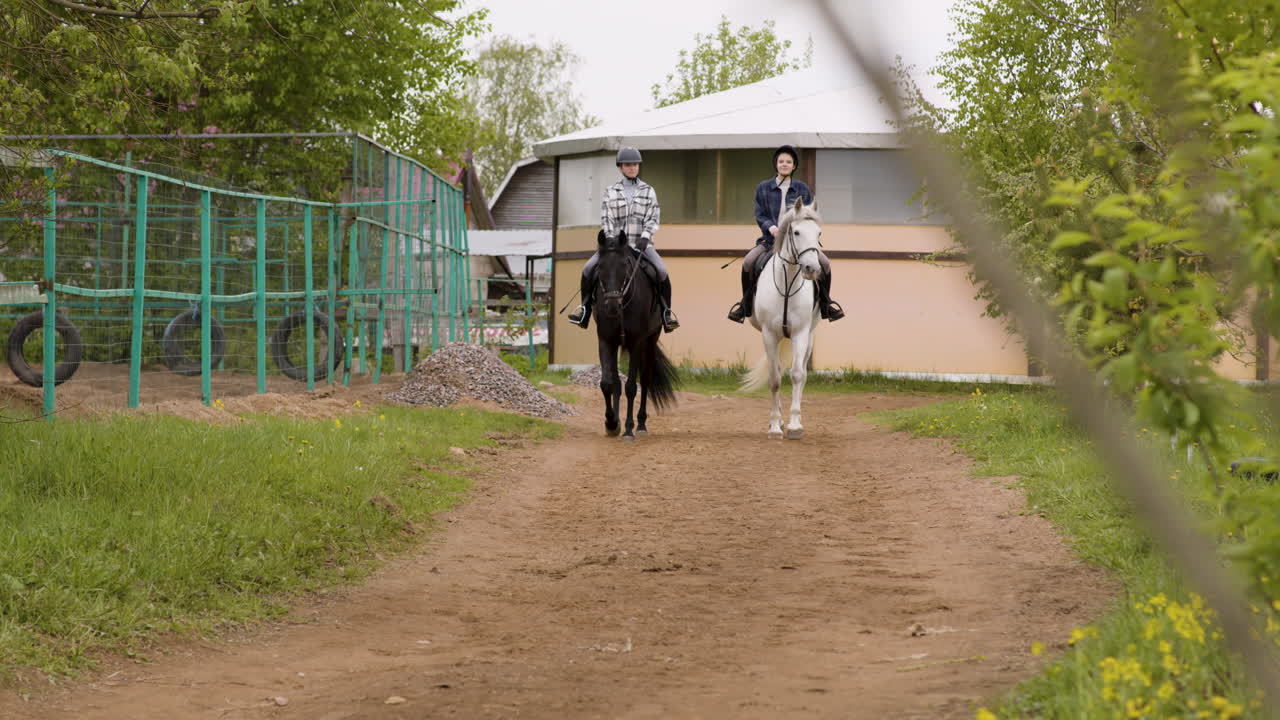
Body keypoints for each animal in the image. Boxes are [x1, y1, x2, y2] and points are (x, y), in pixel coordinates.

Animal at [591, 230, 679, 441]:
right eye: (600, 266)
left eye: (624, 265)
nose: (612, 306)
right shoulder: (606, 340)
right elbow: (607, 384)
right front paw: (611, 423)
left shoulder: (636, 342)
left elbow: (631, 387)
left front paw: (629, 429)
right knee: (616, 382)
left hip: (650, 340)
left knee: (645, 380)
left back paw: (640, 424)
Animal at [740, 196, 824, 439]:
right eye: (796, 232)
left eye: (819, 233)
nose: (812, 269)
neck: (787, 285)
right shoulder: (769, 334)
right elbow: (775, 379)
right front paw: (775, 426)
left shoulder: (800, 333)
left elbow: (796, 375)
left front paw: (794, 426)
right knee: (775, 370)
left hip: (809, 338)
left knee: (802, 374)